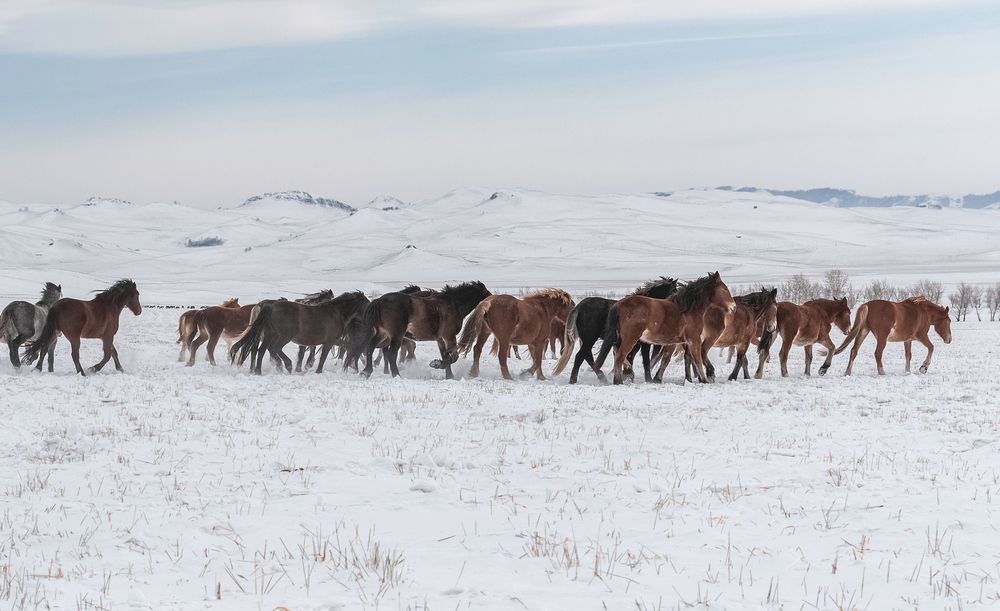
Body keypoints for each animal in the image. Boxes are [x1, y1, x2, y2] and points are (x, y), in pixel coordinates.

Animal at [231, 291, 370, 375]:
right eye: (368, 304)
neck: (336, 313)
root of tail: (270, 306)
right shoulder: (329, 342)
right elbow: (322, 358)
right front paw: (317, 371)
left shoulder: (332, 340)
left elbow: (349, 346)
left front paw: (353, 365)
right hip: (284, 336)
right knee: (273, 349)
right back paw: (286, 366)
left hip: (270, 335)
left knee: (261, 350)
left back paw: (259, 371)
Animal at [348, 281, 492, 379]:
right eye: (488, 294)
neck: (453, 304)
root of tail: (379, 301)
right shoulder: (449, 336)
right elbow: (453, 357)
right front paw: (436, 364)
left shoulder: (440, 339)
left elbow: (445, 355)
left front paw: (449, 376)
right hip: (396, 335)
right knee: (391, 354)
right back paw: (396, 375)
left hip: (383, 334)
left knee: (370, 348)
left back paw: (366, 372)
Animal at [606, 272, 736, 385]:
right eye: (724, 289)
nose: (733, 307)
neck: (688, 310)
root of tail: (618, 305)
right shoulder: (693, 339)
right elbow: (697, 358)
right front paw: (704, 379)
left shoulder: (673, 342)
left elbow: (666, 359)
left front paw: (657, 379)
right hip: (630, 338)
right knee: (620, 356)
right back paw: (619, 381)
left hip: (622, 339)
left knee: (617, 352)